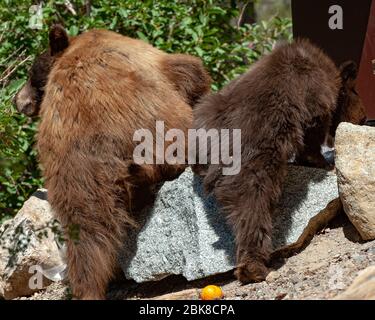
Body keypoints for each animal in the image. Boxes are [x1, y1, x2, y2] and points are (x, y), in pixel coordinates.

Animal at [194, 38, 368, 284]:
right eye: (355, 91)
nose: (363, 117)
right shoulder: (311, 95)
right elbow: (313, 129)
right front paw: (322, 161)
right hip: (254, 153)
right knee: (252, 204)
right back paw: (253, 267)